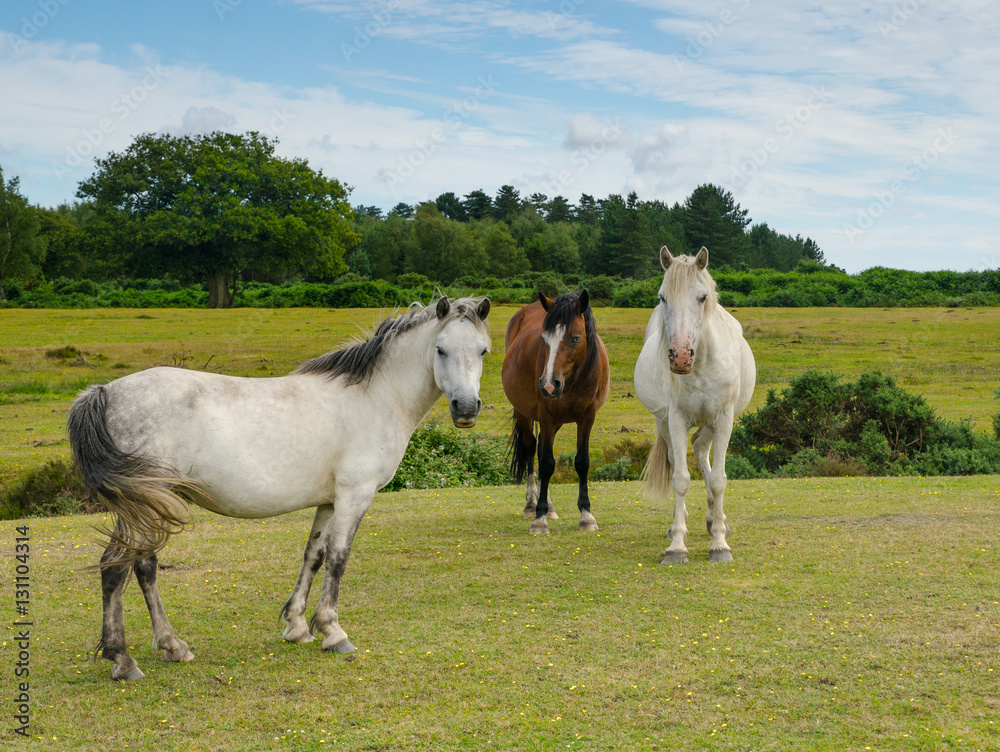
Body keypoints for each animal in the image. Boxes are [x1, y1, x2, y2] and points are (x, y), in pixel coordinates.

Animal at [67, 296, 492, 680]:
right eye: (440, 349)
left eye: (483, 350)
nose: (466, 408)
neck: (374, 398)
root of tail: (105, 391)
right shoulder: (355, 495)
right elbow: (338, 558)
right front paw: (333, 631)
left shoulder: (329, 501)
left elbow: (314, 555)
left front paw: (298, 626)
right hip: (144, 503)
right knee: (115, 567)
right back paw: (124, 660)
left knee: (142, 566)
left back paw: (172, 646)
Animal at [500, 290, 608, 536]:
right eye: (544, 339)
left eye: (575, 338)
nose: (549, 385)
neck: (574, 379)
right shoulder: (547, 415)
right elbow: (547, 463)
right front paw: (539, 519)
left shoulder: (587, 417)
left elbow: (582, 461)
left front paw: (586, 516)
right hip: (525, 413)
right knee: (531, 448)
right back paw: (533, 504)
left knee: (540, 447)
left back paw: (548, 504)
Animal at [636, 247, 752, 564]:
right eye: (663, 297)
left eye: (702, 297)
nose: (679, 356)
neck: (700, 364)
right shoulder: (676, 419)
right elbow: (680, 479)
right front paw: (677, 546)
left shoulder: (724, 419)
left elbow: (719, 480)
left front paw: (720, 544)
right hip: (664, 422)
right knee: (681, 458)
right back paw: (685, 523)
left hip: (712, 422)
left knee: (701, 450)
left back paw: (715, 520)